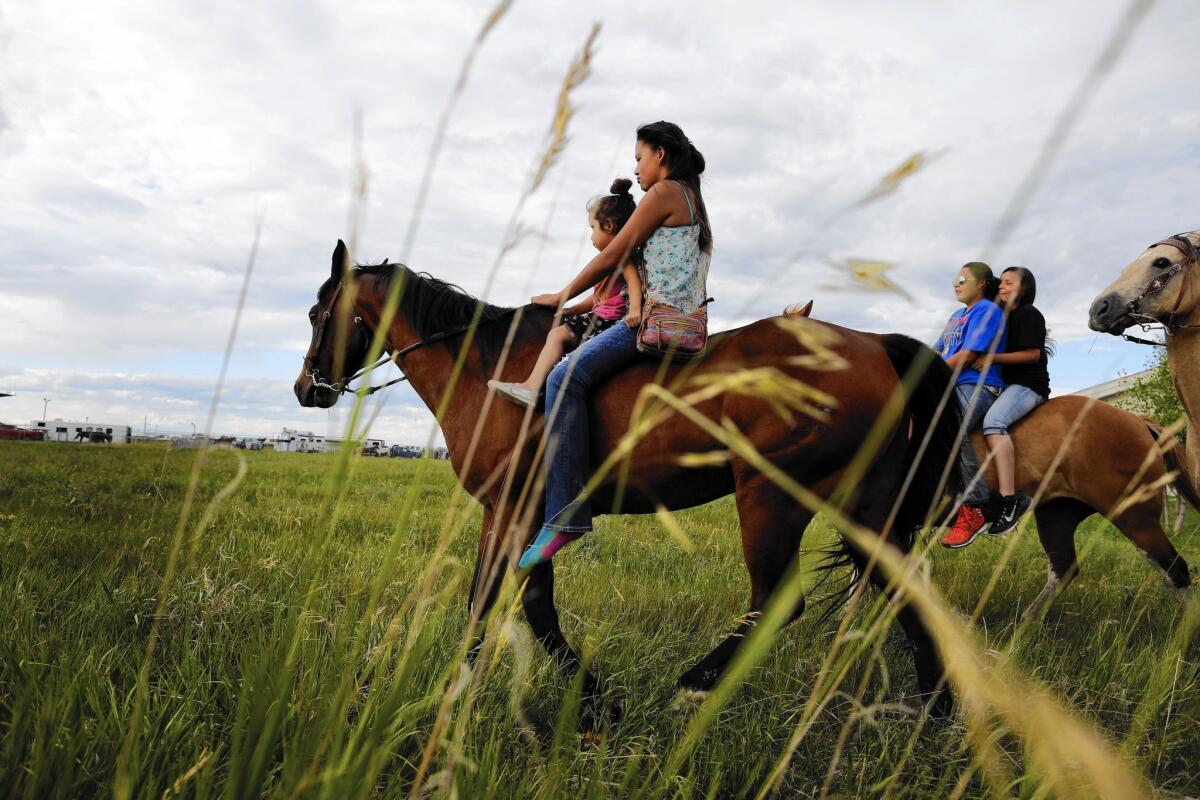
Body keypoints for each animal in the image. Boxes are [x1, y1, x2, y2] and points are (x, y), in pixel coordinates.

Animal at [297, 241, 964, 714]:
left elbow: (519, 602)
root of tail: (872, 344)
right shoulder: (507, 510)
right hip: (863, 505)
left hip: (771, 496)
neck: (487, 369)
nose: (307, 388)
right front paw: (466, 682)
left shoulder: (519, 510)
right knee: (907, 591)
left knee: (777, 601)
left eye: (313, 312)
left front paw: (582, 698)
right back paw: (936, 708)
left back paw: (694, 684)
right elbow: (499, 599)